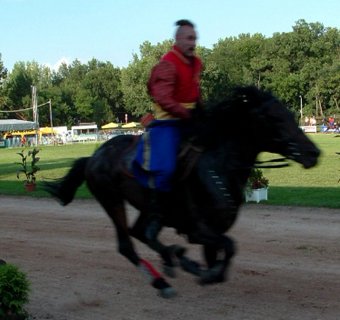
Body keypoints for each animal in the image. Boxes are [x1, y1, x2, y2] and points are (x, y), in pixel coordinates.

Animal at [43, 86, 320, 298]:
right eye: (273, 118)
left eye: (290, 114)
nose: (313, 153)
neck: (218, 165)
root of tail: (93, 156)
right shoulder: (199, 230)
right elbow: (229, 247)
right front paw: (196, 268)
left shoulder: (211, 231)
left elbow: (221, 257)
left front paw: (198, 267)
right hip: (111, 201)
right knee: (127, 245)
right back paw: (163, 278)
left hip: (147, 208)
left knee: (141, 232)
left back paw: (169, 259)